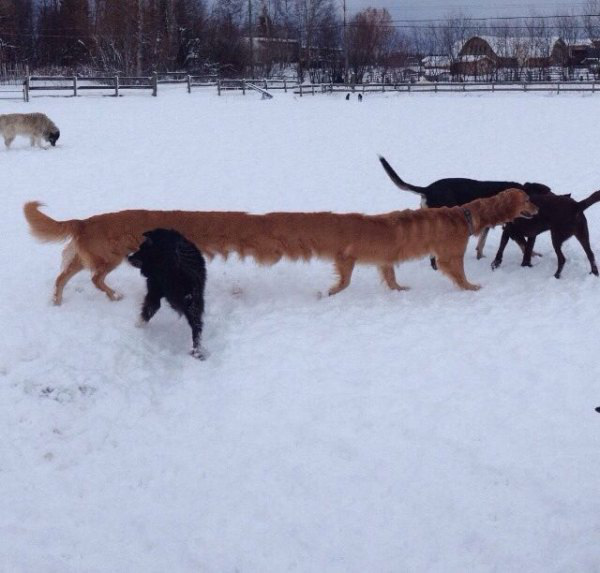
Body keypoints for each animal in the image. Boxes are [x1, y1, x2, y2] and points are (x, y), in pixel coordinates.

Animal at [127, 228, 207, 358]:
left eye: (141, 248)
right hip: (195, 303)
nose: (128, 256)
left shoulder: (153, 289)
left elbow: (147, 310)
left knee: (149, 309)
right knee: (197, 329)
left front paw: (137, 326)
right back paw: (197, 352)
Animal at [378, 155, 552, 264]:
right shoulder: (510, 228)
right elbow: (524, 244)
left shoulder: (487, 225)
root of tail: (427, 189)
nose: (539, 210)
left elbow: (481, 243)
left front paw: (480, 257)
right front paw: (535, 255)